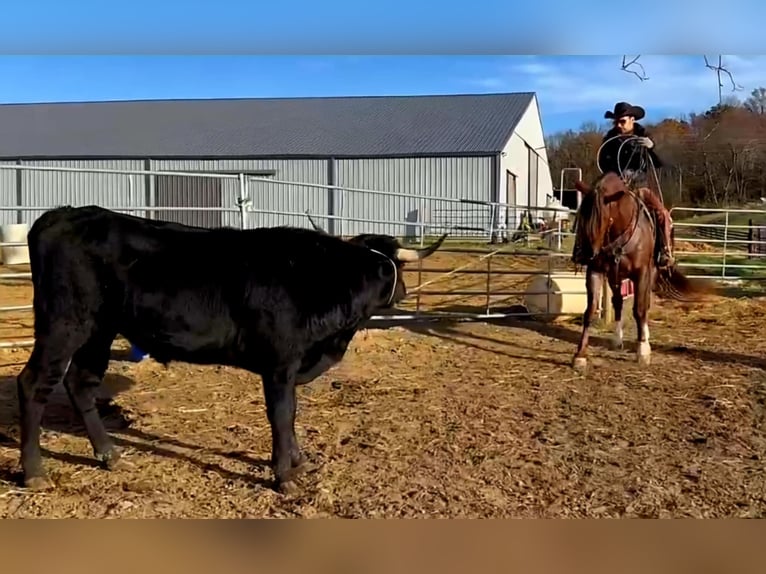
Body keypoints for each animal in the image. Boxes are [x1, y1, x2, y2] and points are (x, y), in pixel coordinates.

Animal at [570, 171, 711, 373]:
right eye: (581, 215)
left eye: (602, 217)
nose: (586, 254)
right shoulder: (596, 271)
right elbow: (590, 311)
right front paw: (580, 355)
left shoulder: (641, 274)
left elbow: (639, 309)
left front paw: (643, 350)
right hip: (614, 276)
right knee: (618, 302)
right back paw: (617, 339)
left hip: (650, 275)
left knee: (645, 304)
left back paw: (645, 336)